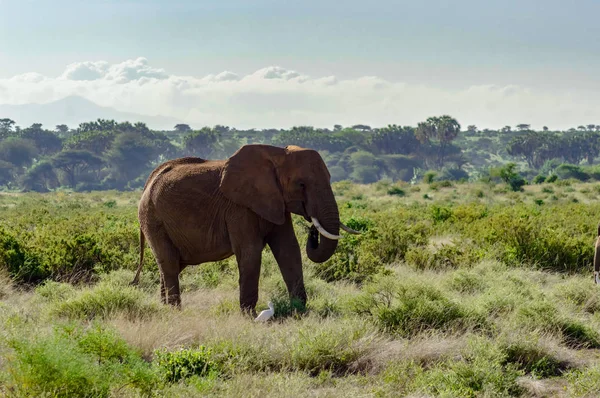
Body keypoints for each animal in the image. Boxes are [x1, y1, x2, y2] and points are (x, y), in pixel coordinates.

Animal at [131, 143, 358, 314]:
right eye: (301, 184)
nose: (312, 228)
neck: (277, 154)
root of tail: (148, 181)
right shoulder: (239, 208)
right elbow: (250, 252)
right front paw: (249, 315)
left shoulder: (275, 201)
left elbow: (288, 249)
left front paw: (299, 310)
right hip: (153, 219)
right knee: (169, 263)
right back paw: (175, 312)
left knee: (172, 265)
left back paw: (164, 308)